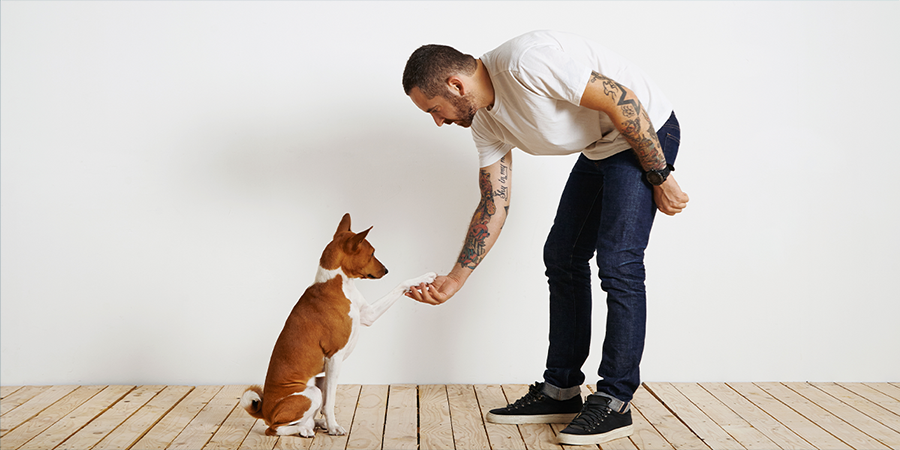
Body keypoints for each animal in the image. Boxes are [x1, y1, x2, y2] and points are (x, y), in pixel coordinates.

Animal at [239, 214, 436, 436]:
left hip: (318, 382)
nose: (386, 270)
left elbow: (400, 285)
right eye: (372, 253)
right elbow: (330, 402)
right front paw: (334, 427)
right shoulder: (334, 357)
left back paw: (314, 424)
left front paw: (425, 277)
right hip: (311, 392)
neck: (339, 284)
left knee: (303, 419)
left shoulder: (368, 314)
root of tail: (264, 410)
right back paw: (306, 429)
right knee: (275, 428)